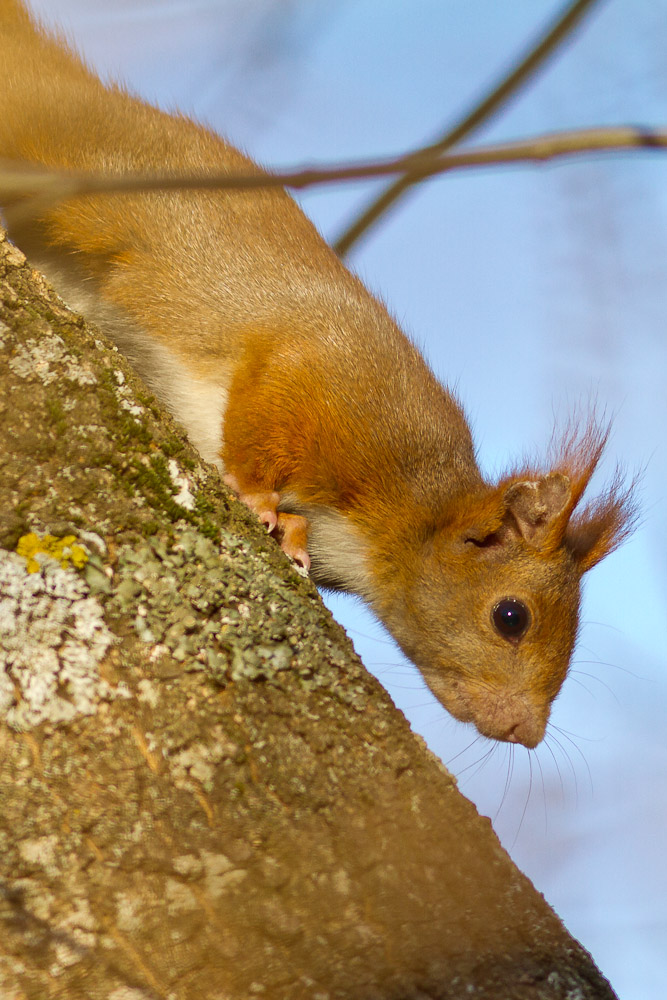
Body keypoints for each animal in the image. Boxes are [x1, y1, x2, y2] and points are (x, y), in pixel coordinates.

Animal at [0, 0, 636, 748]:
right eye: (511, 616)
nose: (524, 733)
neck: (406, 507)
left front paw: (293, 537)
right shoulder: (332, 387)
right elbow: (266, 414)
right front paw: (256, 496)